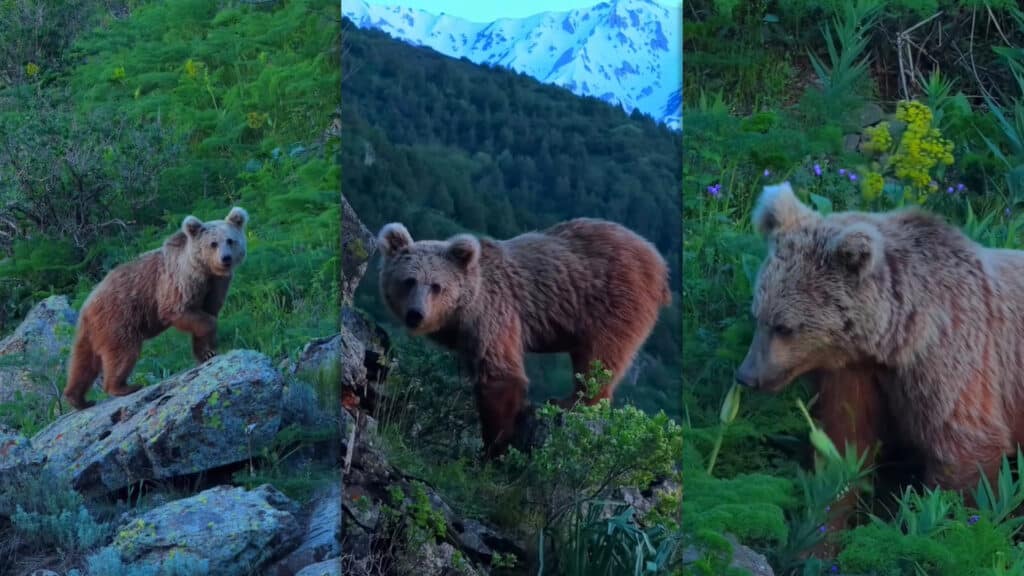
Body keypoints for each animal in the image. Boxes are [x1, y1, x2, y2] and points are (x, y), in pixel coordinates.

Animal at [63, 207, 249, 410]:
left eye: (230, 240)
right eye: (213, 243)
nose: (226, 258)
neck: (204, 271)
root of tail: (87, 304)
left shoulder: (216, 285)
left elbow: (208, 312)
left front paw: (207, 352)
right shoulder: (178, 284)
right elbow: (183, 312)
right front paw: (211, 342)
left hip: (90, 331)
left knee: (82, 363)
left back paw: (78, 398)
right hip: (118, 318)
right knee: (122, 352)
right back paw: (123, 387)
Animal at [375, 218, 672, 457]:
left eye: (437, 286)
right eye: (409, 281)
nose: (416, 314)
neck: (461, 312)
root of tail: (659, 262)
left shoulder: (495, 313)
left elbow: (501, 376)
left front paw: (494, 447)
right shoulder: (468, 335)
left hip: (615, 302)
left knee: (600, 358)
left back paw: (569, 401)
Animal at [736, 181, 1024, 498]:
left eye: (784, 327)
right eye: (757, 315)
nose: (746, 376)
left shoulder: (957, 361)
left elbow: (965, 450)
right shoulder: (854, 372)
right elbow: (846, 441)